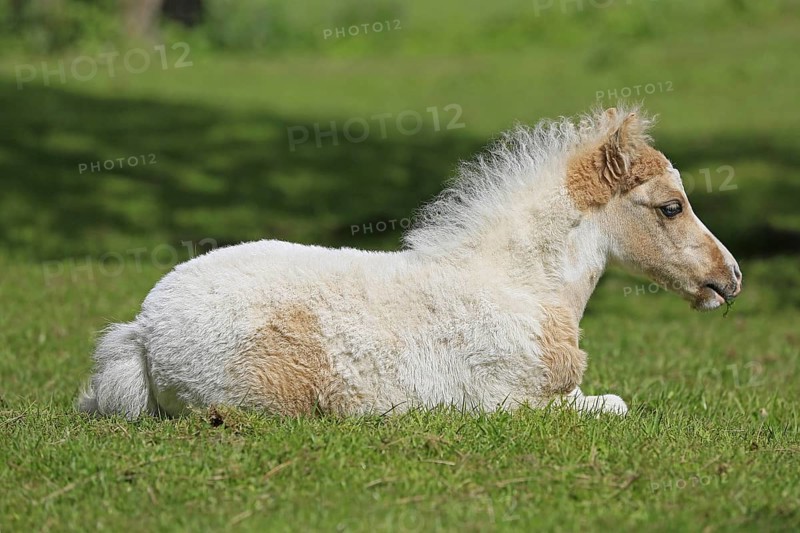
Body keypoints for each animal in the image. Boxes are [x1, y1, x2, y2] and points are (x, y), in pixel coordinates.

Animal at [77, 105, 742, 419]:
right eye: (671, 207)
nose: (730, 278)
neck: (521, 287)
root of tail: (143, 330)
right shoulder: (507, 403)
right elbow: (615, 406)